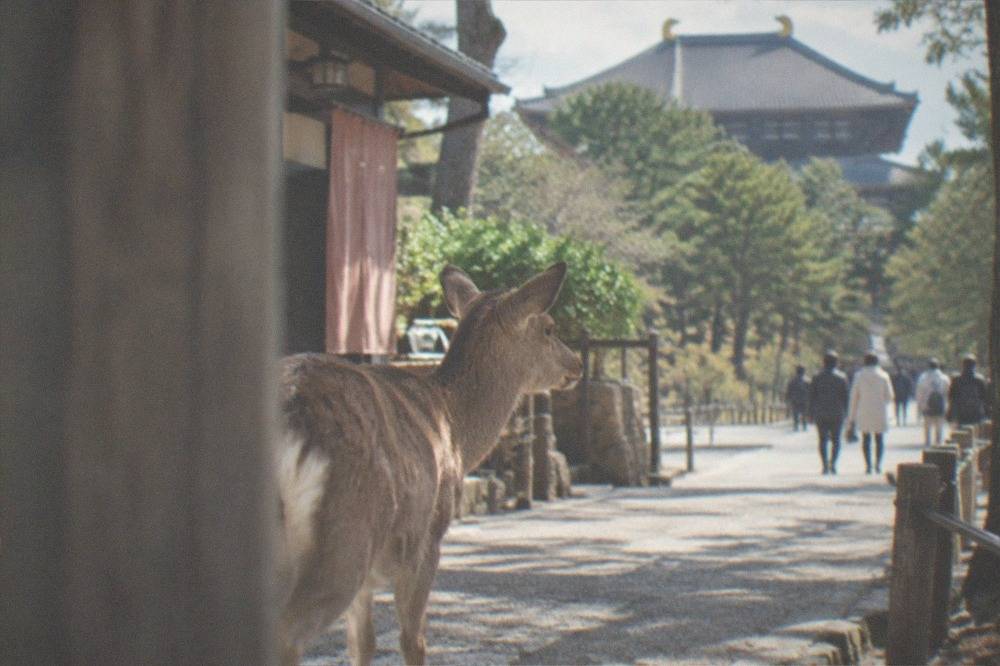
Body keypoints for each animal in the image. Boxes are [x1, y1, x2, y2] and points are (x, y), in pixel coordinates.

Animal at [275, 262, 582, 665]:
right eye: (548, 328)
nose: (577, 362)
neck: (454, 428)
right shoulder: (426, 540)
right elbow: (413, 640)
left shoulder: (371, 579)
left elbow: (363, 644)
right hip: (345, 536)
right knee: (287, 634)